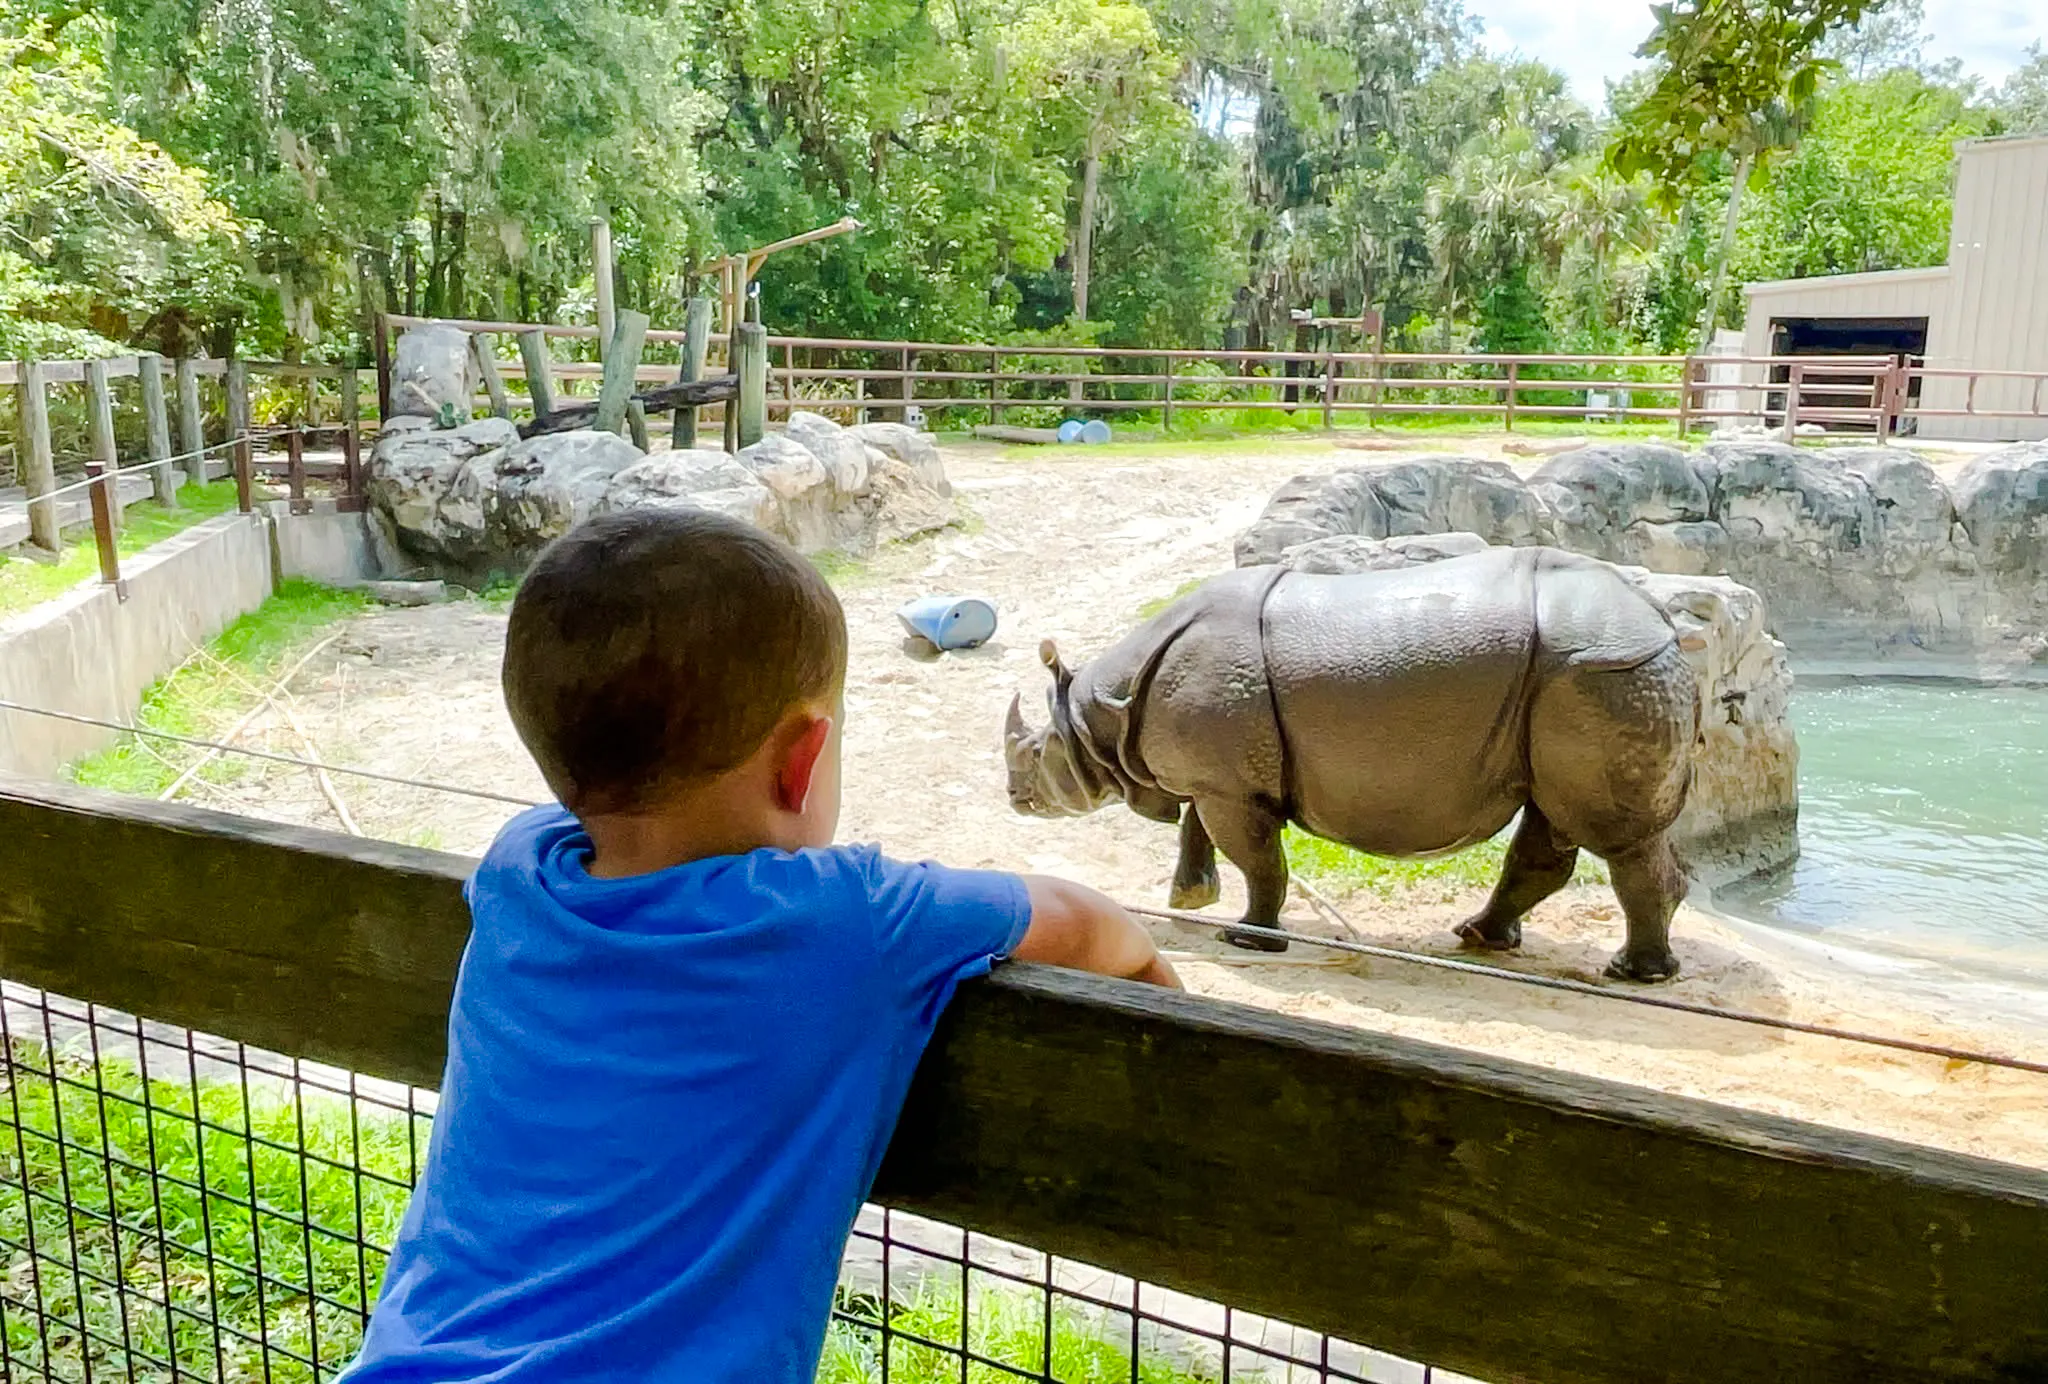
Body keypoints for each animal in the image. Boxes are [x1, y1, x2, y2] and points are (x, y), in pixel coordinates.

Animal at [1003, 547, 1701, 981]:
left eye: (1036, 753)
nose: (1012, 797)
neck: (1105, 713)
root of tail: (1664, 626)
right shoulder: (1222, 775)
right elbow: (1203, 833)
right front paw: (1189, 898)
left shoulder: (1227, 783)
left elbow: (1259, 860)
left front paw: (1247, 938)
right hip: (1574, 685)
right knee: (1551, 824)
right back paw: (1479, 938)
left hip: (1604, 676)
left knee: (1616, 840)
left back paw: (1633, 976)